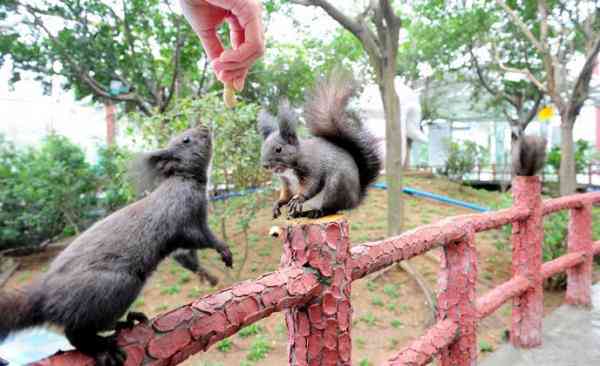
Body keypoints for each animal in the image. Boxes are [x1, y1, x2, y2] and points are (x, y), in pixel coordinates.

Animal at [0, 126, 232, 366]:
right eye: (186, 140)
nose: (205, 127)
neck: (182, 180)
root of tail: (44, 296)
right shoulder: (184, 220)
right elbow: (203, 239)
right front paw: (223, 249)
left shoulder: (183, 239)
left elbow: (188, 257)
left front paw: (209, 275)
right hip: (117, 286)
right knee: (76, 333)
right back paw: (104, 348)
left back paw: (127, 322)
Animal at [256, 70, 380, 219]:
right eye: (262, 148)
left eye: (279, 149)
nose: (265, 165)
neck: (289, 169)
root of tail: (355, 200)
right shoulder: (287, 183)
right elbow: (286, 196)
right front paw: (277, 204)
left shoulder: (313, 169)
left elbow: (312, 185)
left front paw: (298, 198)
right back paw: (298, 214)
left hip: (335, 187)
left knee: (331, 209)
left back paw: (314, 212)